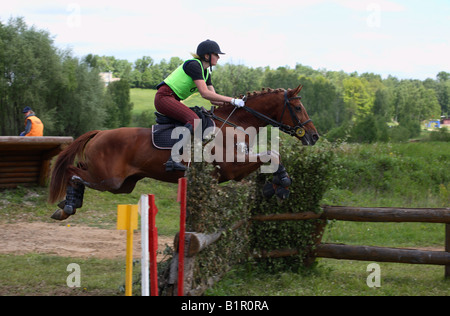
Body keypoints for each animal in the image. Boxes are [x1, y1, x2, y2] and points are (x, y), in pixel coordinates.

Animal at [47, 85, 318, 221]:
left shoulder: (237, 170)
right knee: (72, 172)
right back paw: (68, 205)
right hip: (110, 180)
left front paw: (279, 185)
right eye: (297, 107)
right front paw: (281, 185)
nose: (314, 136)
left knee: (80, 172)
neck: (235, 124)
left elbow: (271, 157)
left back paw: (67, 205)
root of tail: (100, 133)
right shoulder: (231, 168)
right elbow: (271, 154)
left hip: (123, 184)